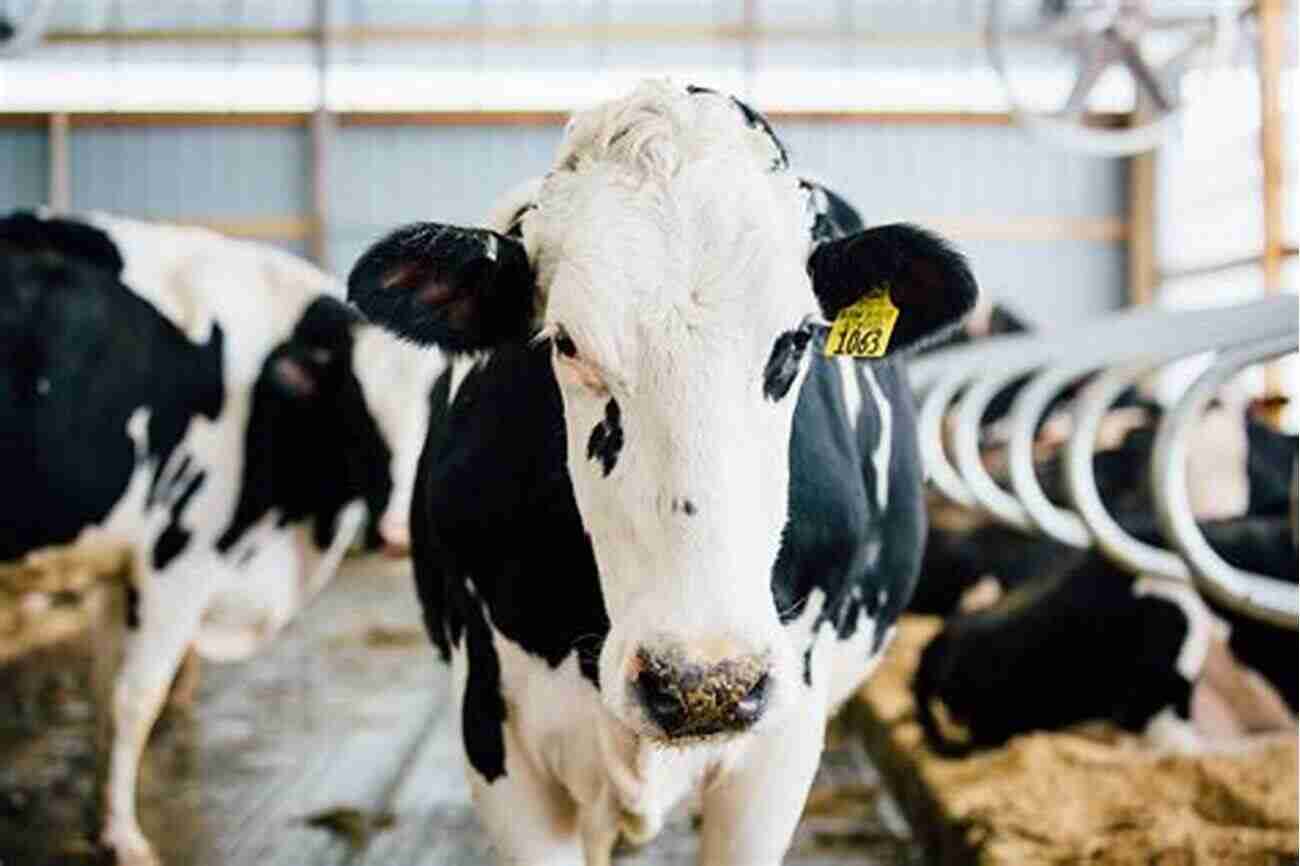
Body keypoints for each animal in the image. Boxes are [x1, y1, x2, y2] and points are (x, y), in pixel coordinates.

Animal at [0, 210, 444, 863]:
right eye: (356, 408)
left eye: (441, 402)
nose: (394, 534)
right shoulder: (174, 565)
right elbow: (136, 698)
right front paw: (125, 836)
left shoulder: (117, 570)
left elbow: (106, 694)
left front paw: (102, 819)